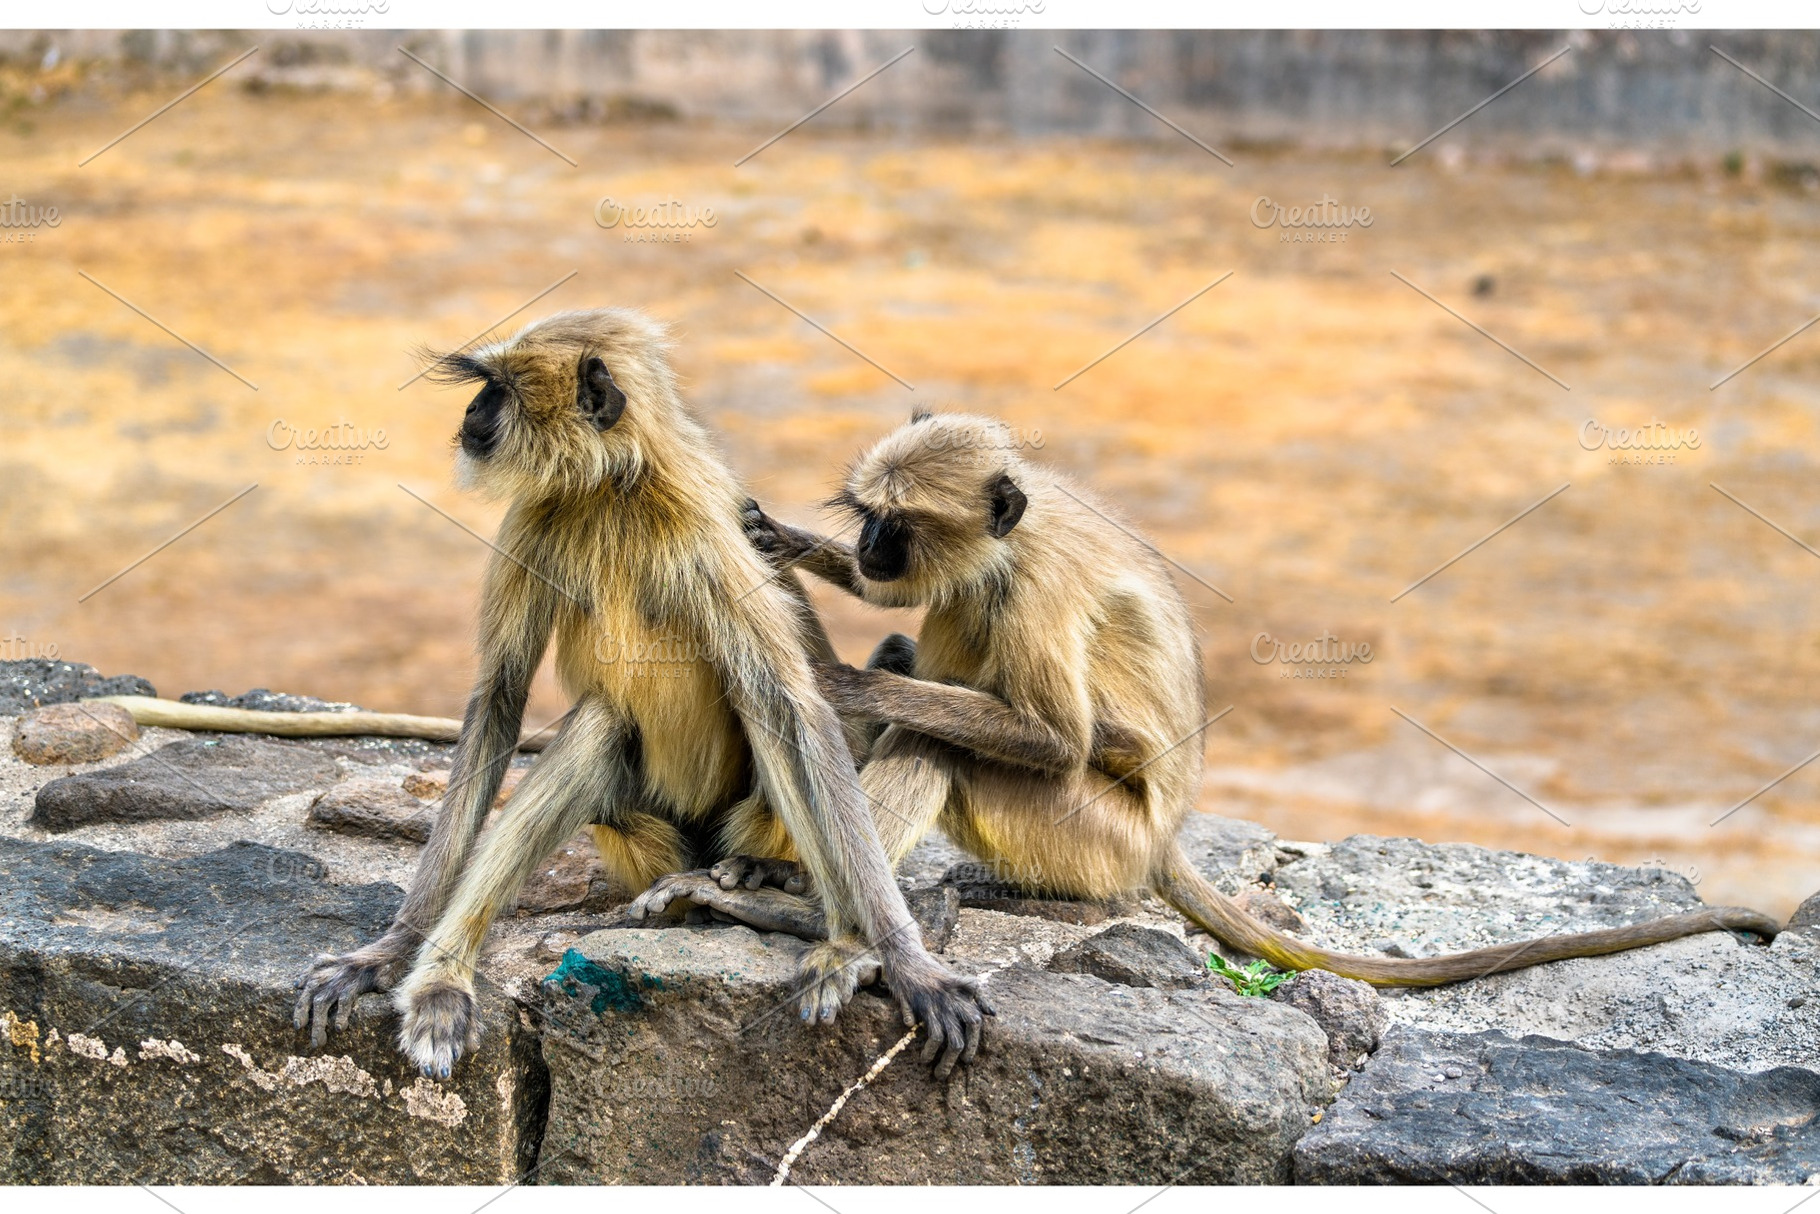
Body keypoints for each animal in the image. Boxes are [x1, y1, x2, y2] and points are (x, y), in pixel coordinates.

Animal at [291, 311, 988, 1079]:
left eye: (497, 391)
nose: (471, 414)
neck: (613, 488)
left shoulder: (709, 528)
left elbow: (794, 705)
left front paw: (904, 959)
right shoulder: (533, 517)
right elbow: (499, 699)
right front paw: (393, 946)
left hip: (744, 825)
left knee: (763, 710)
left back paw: (826, 935)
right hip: (639, 841)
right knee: (601, 723)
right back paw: (445, 983)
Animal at [641, 410, 1781, 987]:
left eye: (898, 523)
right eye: (866, 517)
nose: (874, 547)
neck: (1021, 528)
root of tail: (1160, 838)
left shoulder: (1029, 584)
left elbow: (1054, 741)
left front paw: (838, 676)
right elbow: (897, 623)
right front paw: (786, 543)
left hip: (1085, 831)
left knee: (956, 742)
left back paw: (813, 912)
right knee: (921, 649)